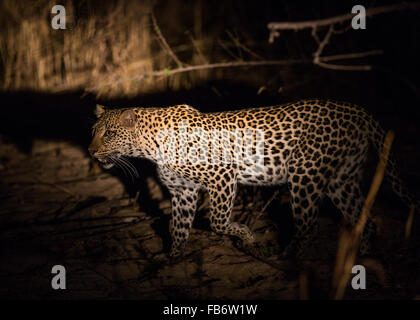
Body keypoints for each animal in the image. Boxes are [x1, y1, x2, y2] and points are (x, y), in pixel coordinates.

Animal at [88, 99, 416, 258]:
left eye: (110, 133)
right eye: (94, 131)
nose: (91, 151)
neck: (150, 146)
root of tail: (358, 110)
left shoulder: (222, 176)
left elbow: (218, 222)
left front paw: (245, 235)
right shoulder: (183, 192)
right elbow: (178, 228)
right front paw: (172, 258)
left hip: (305, 173)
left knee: (308, 225)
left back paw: (290, 258)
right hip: (341, 179)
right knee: (366, 220)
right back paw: (363, 260)